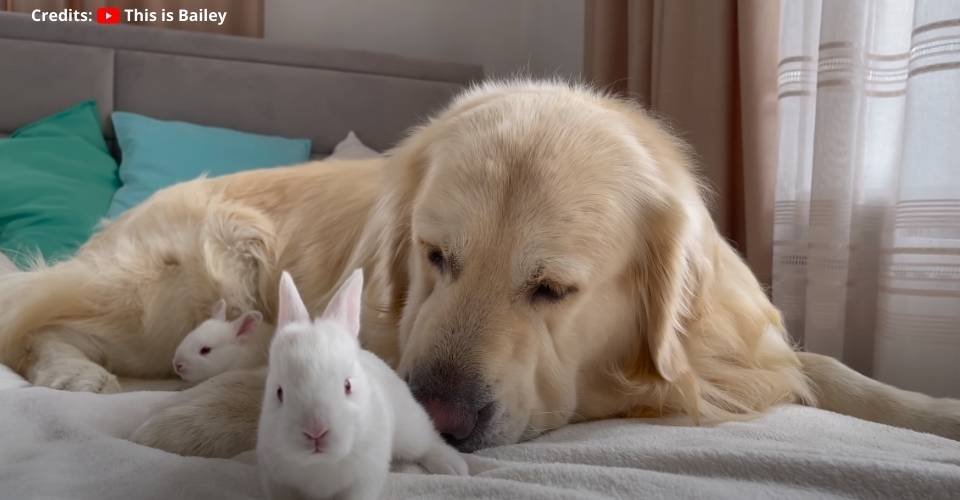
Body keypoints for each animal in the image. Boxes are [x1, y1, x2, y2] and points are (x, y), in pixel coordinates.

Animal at [1, 79, 960, 458]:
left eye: (553, 290)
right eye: (435, 257)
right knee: (42, 319)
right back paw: (75, 374)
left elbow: (834, 370)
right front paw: (198, 421)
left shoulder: (742, 358)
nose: (442, 417)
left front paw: (933, 412)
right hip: (185, 281)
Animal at [253, 270, 466, 500]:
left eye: (347, 386)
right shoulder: (277, 482)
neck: (321, 464)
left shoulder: (363, 481)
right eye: (279, 392)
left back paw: (455, 467)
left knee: (428, 441)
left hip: (410, 429)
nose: (315, 432)